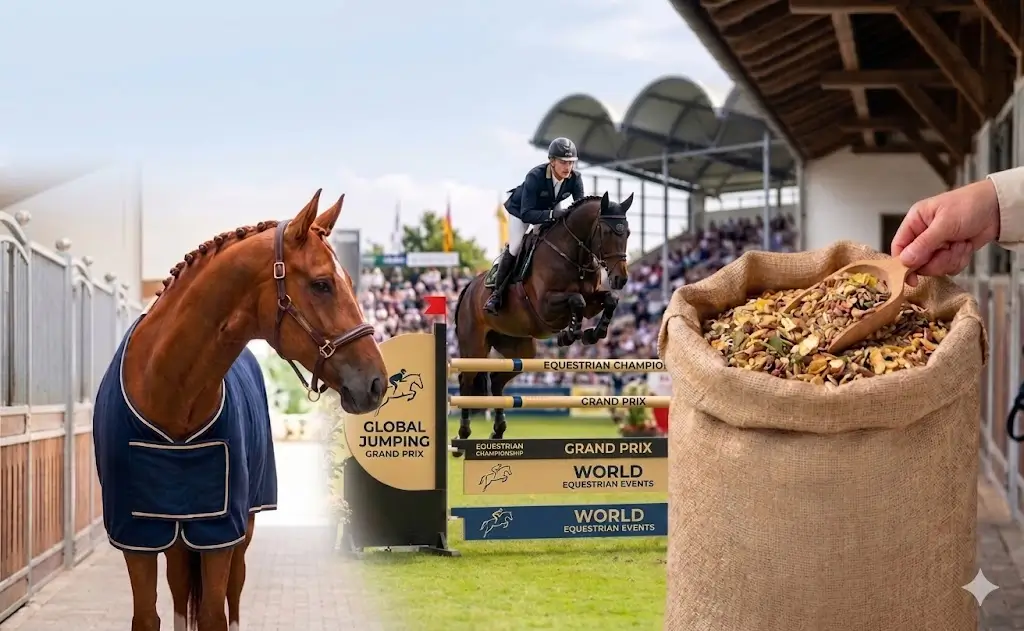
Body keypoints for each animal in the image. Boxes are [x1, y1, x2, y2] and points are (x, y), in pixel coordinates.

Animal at [92, 190, 387, 631]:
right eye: (322, 284)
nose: (376, 382)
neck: (169, 396)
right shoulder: (136, 535)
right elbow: (148, 615)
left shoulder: (220, 533)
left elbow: (214, 613)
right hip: (179, 536)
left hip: (242, 530)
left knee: (232, 595)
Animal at [453, 192, 633, 448]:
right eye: (607, 232)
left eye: (627, 233)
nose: (620, 279)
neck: (574, 256)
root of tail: (467, 287)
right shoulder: (545, 305)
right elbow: (576, 300)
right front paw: (570, 334)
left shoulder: (592, 301)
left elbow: (610, 299)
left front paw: (592, 333)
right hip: (474, 348)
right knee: (466, 382)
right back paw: (463, 434)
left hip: (521, 349)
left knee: (496, 381)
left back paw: (498, 431)